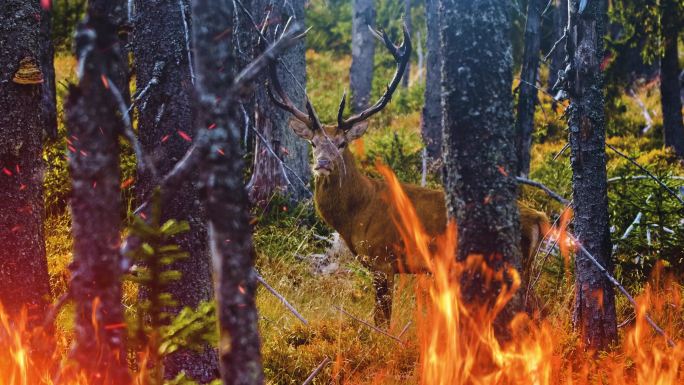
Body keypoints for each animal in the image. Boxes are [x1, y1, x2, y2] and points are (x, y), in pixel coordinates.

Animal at [264, 24, 548, 326]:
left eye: (341, 143)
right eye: (313, 143)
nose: (323, 163)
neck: (356, 214)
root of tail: (540, 218)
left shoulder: (383, 259)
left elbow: (381, 320)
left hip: (511, 265)